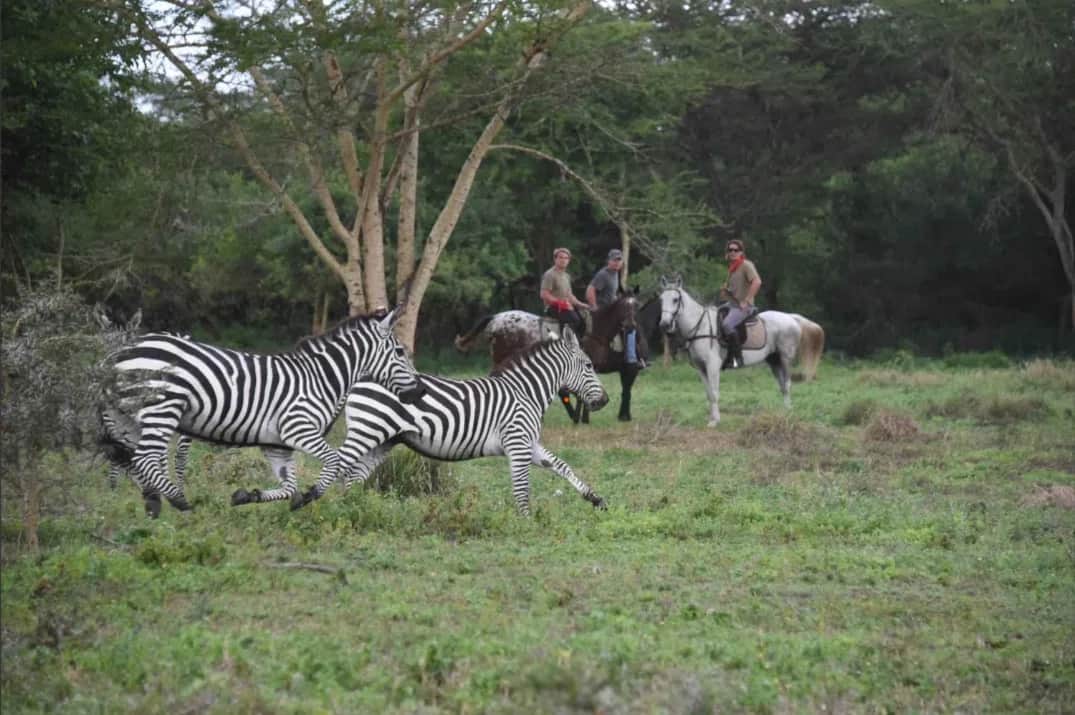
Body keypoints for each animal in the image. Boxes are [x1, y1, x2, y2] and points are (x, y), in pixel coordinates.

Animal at [454, 292, 649, 422]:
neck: (596, 331)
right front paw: (582, 417)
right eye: (626, 307)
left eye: (637, 307)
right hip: (500, 358)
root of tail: (496, 318)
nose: (631, 325)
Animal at [657, 275, 824, 427]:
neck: (701, 326)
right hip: (774, 361)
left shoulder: (712, 365)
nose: (664, 324)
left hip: (785, 359)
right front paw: (711, 418)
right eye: (661, 300)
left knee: (788, 384)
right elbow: (709, 393)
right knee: (783, 386)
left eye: (675, 300)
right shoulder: (701, 368)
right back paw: (785, 412)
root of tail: (791, 318)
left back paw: (789, 414)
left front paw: (715, 421)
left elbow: (714, 393)